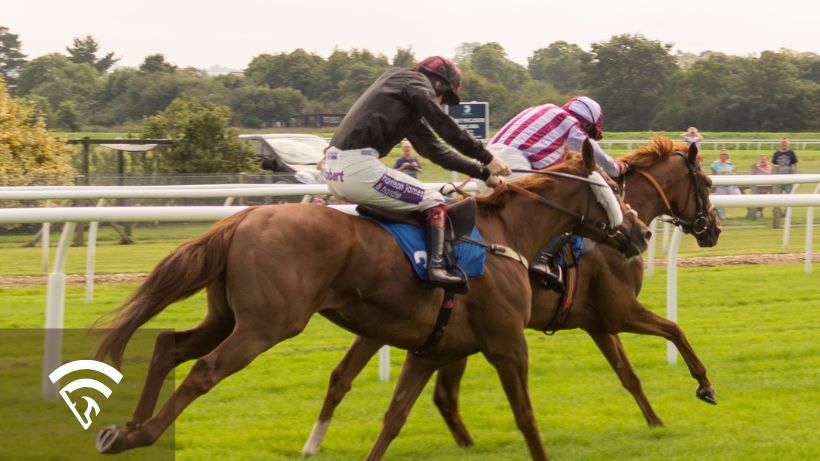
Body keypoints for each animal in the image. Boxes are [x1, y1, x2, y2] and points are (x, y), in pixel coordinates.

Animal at [94, 141, 648, 460]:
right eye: (613, 187)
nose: (640, 232)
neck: (506, 235)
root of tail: (245, 217)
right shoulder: (508, 344)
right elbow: (527, 418)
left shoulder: (431, 348)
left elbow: (394, 417)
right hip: (265, 325)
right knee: (203, 371)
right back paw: (140, 434)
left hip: (226, 316)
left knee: (168, 345)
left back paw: (127, 429)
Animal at [302, 136, 716, 452]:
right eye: (708, 183)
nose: (713, 229)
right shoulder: (621, 310)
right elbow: (674, 330)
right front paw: (705, 387)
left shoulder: (598, 323)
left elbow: (628, 374)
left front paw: (655, 420)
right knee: (440, 394)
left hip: (405, 328)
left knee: (345, 377)